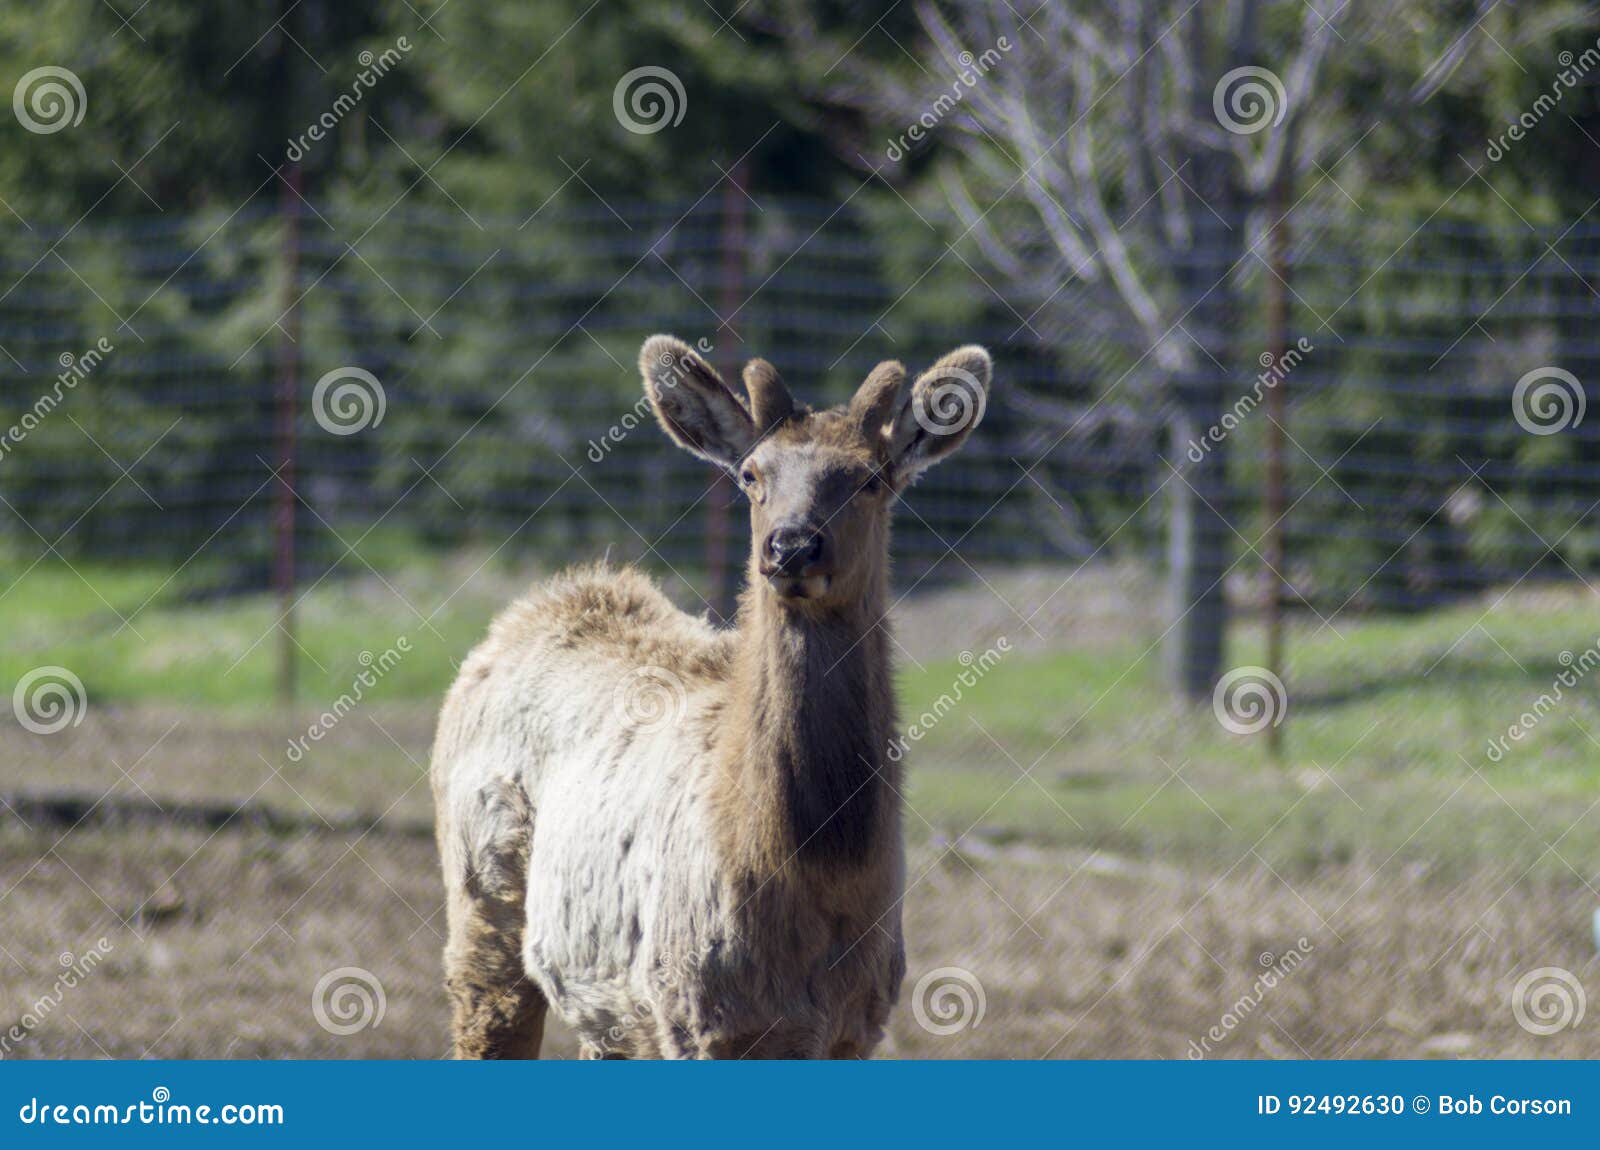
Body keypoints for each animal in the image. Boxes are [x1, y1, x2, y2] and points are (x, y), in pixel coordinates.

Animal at [429, 334, 991, 1058]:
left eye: (871, 478)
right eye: (752, 474)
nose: (792, 546)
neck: (817, 874)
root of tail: (524, 615)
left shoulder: (859, 1024)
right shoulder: (695, 1014)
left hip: (606, 1003)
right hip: (482, 906)